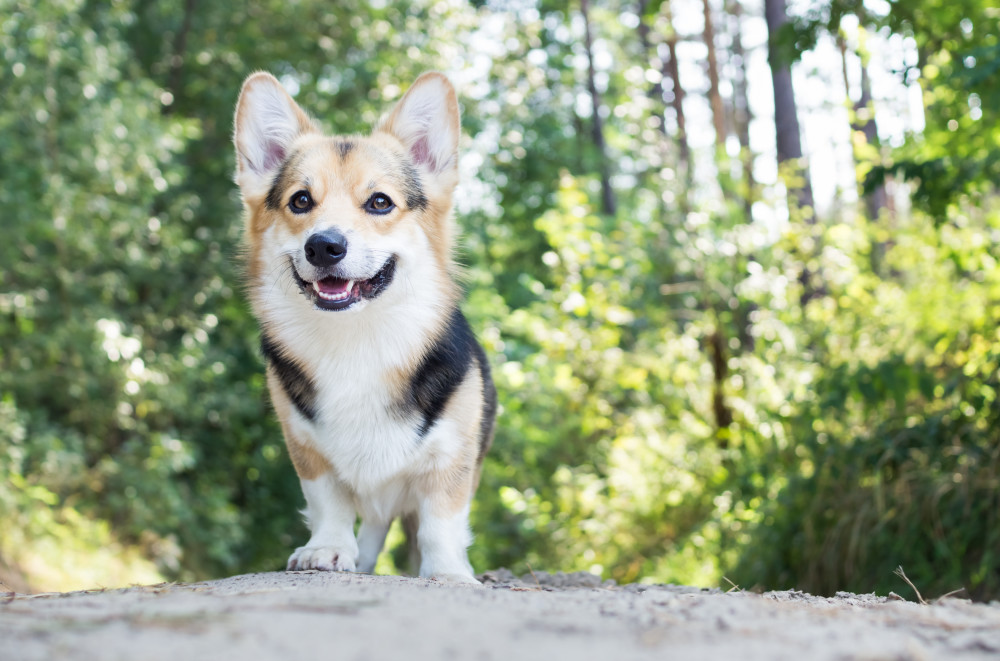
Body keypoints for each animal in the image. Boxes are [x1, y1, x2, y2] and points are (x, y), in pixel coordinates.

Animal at [235, 69, 500, 580]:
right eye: (301, 200)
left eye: (379, 202)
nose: (324, 246)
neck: (356, 337)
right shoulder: (307, 449)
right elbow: (329, 504)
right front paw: (327, 549)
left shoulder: (451, 456)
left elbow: (441, 521)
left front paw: (446, 570)